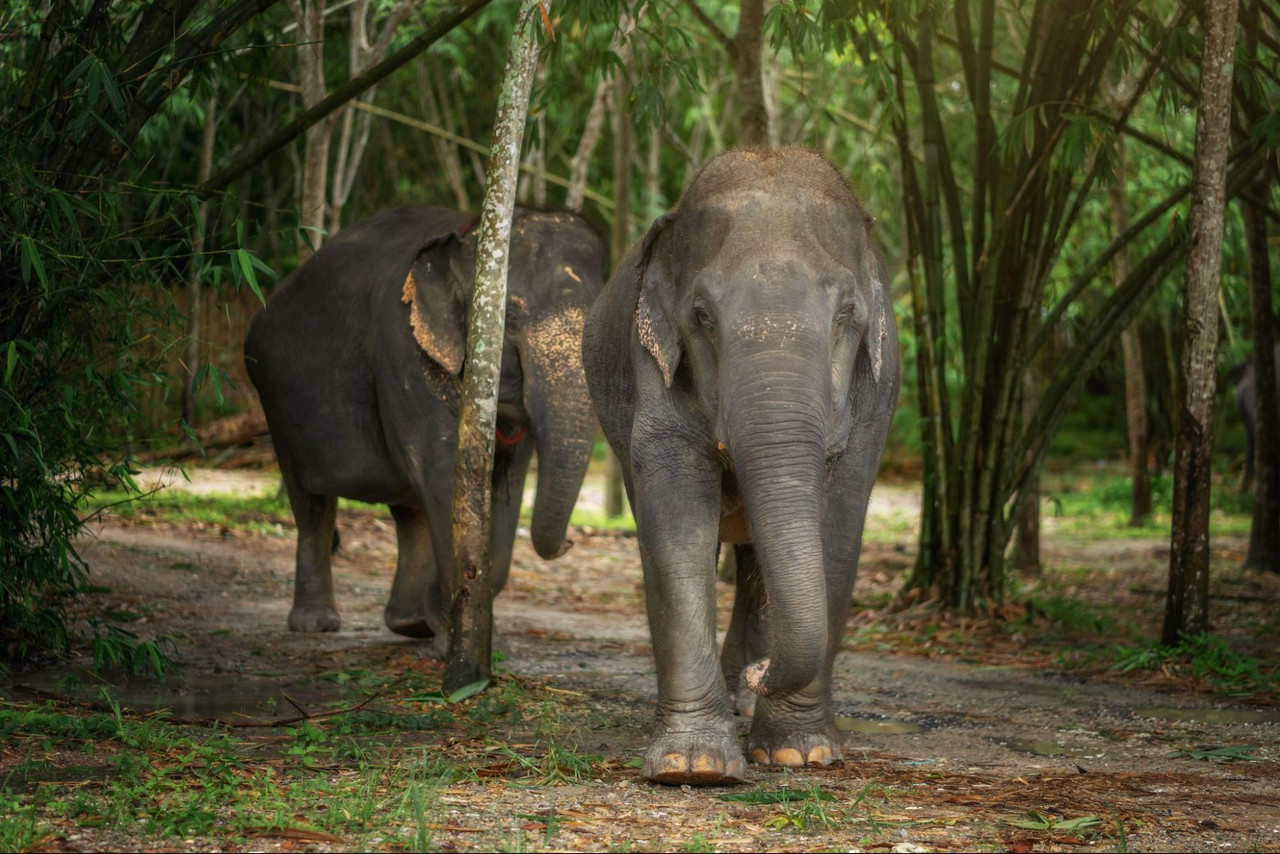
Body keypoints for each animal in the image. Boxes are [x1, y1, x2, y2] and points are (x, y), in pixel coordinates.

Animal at [245, 206, 607, 641]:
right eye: (512, 316)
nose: (571, 542)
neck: (469, 235)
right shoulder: (403, 349)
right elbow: (443, 471)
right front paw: (455, 626)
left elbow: (504, 488)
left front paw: (452, 620)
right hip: (276, 401)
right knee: (312, 505)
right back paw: (316, 624)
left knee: (409, 510)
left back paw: (410, 624)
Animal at [582, 148, 899, 785]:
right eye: (702, 316)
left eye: (847, 315)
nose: (763, 672)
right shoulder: (650, 360)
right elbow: (677, 523)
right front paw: (693, 766)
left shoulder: (878, 389)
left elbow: (840, 525)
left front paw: (800, 753)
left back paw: (747, 704)